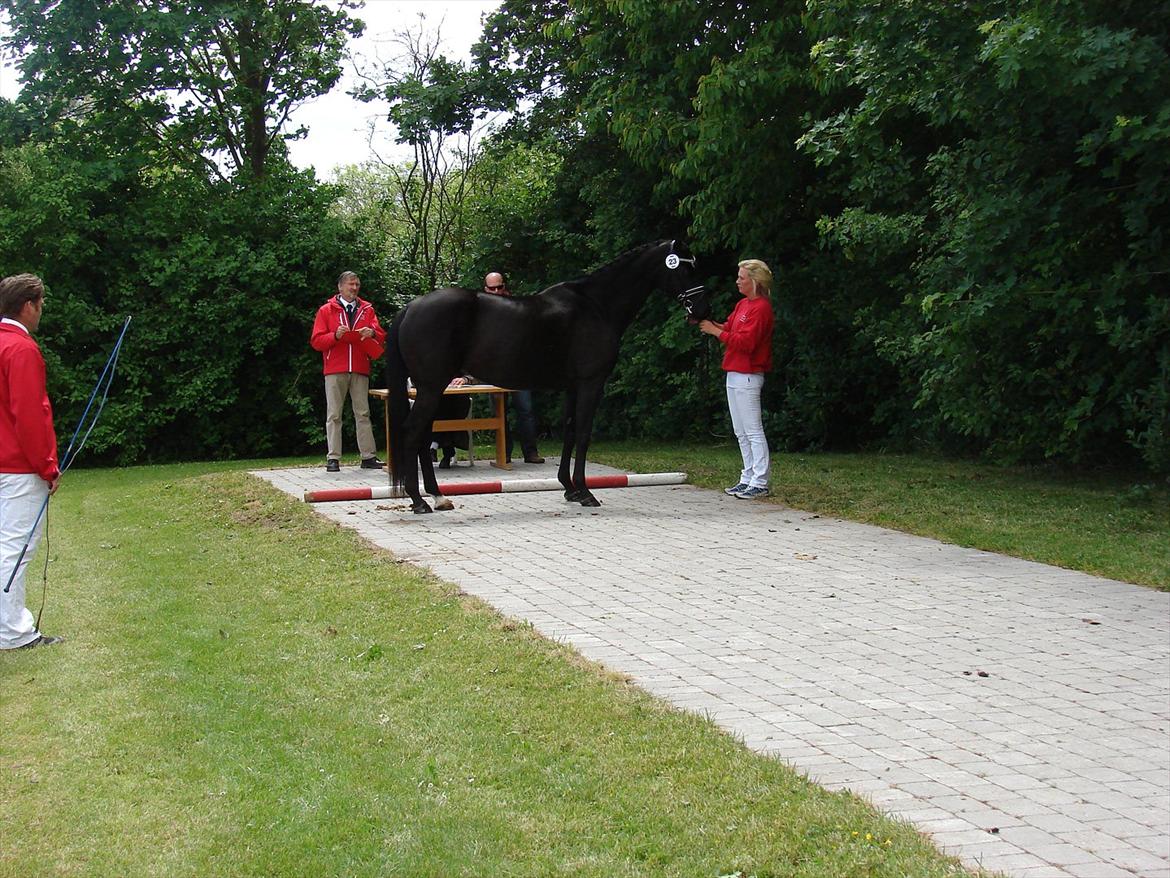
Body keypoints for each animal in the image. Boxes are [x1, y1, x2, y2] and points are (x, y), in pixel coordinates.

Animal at [388, 241, 706, 515]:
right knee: (413, 433)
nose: (702, 310)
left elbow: (569, 431)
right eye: (684, 268)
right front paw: (586, 492)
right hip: (431, 388)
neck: (596, 306)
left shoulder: (573, 387)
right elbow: (584, 434)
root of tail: (410, 307)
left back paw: (437, 496)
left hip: (431, 390)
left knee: (422, 436)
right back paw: (420, 500)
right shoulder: (591, 383)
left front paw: (570, 488)